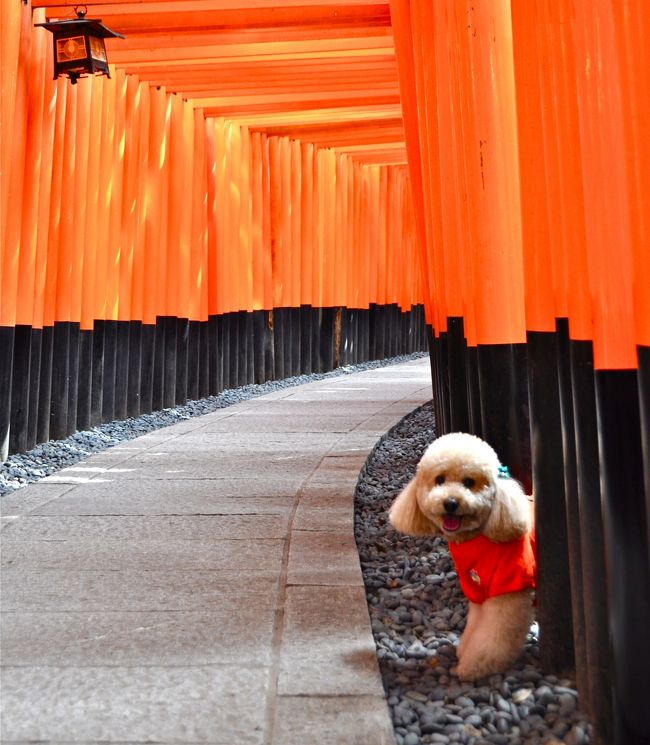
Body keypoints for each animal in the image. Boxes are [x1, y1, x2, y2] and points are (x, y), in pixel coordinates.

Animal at [388, 430, 536, 680]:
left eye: (469, 482)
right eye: (439, 479)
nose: (450, 503)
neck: (479, 539)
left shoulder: (508, 591)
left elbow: (495, 636)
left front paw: (474, 666)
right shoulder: (477, 592)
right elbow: (475, 627)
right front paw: (465, 650)